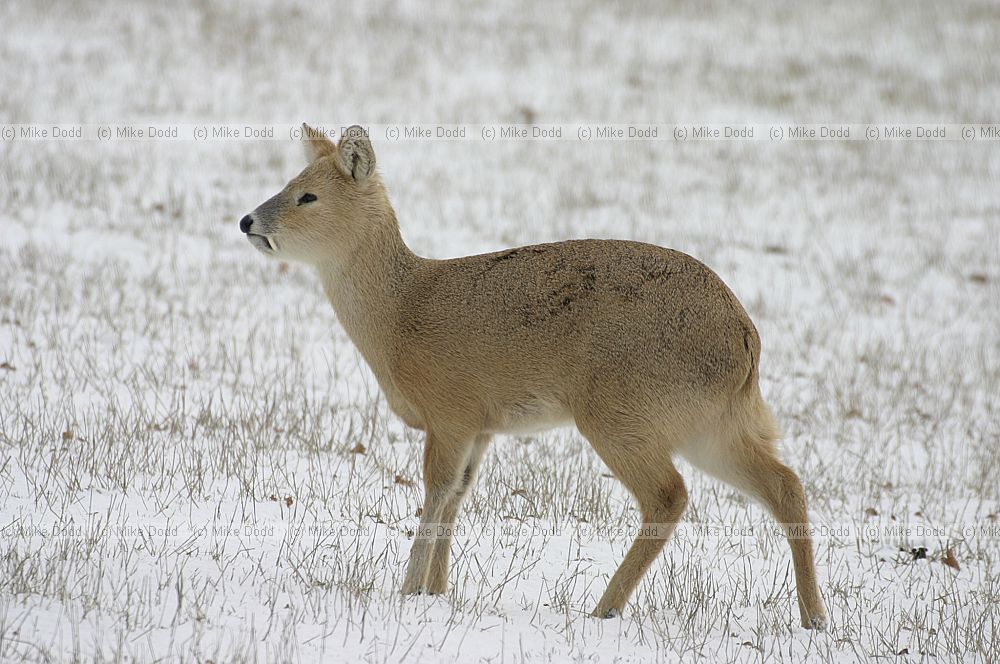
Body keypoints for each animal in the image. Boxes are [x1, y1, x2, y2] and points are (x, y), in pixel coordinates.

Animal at [238, 124, 826, 629]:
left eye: (307, 196)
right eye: (288, 183)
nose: (247, 222)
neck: (399, 315)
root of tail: (747, 339)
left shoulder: (449, 409)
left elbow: (435, 492)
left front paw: (406, 592)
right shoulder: (481, 426)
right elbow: (457, 497)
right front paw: (435, 592)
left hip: (620, 409)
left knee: (669, 494)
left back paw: (604, 609)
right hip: (711, 424)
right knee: (786, 485)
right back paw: (814, 618)